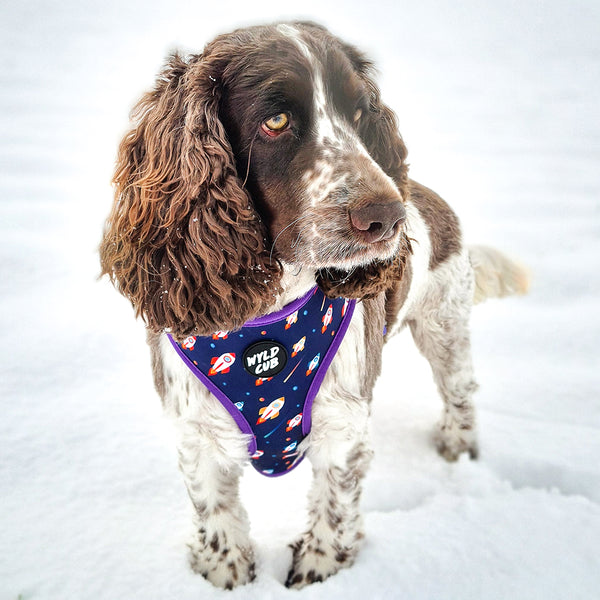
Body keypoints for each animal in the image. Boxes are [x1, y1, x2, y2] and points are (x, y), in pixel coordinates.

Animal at [99, 22, 528, 592]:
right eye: (276, 120)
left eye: (362, 111)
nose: (387, 216)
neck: (265, 321)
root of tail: (426, 195)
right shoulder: (197, 430)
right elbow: (215, 511)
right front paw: (224, 573)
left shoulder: (342, 426)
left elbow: (335, 502)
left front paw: (320, 569)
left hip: (445, 325)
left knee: (460, 390)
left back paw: (457, 450)